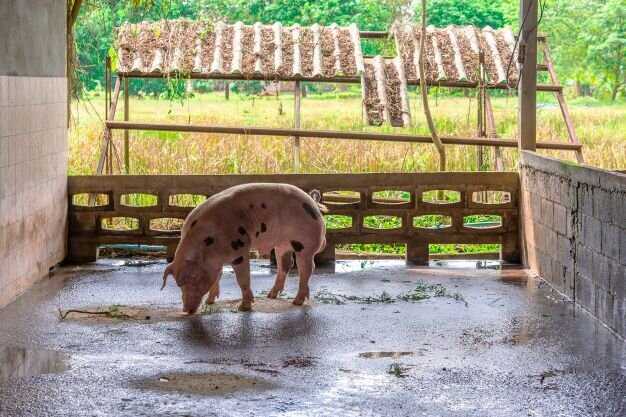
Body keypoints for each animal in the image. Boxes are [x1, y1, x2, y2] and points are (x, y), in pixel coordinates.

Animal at [161, 182, 326, 312]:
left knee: (307, 269)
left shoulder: (239, 251)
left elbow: (242, 279)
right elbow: (217, 277)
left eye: (194, 279)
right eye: (178, 284)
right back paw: (271, 296)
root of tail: (313, 203)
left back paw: (296, 302)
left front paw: (244, 307)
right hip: (282, 245)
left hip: (304, 245)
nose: (186, 310)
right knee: (286, 265)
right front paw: (210, 301)